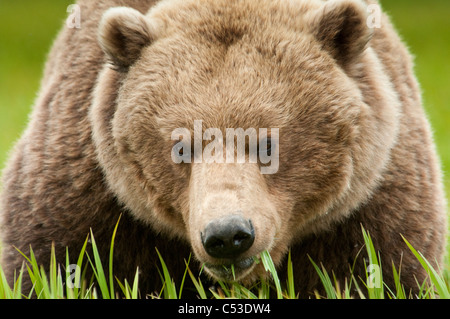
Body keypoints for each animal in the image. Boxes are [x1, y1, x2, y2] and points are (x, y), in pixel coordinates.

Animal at [0, 0, 446, 298]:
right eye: (180, 146)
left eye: (267, 142)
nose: (228, 235)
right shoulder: (88, 196)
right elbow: (54, 260)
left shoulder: (370, 206)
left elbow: (384, 268)